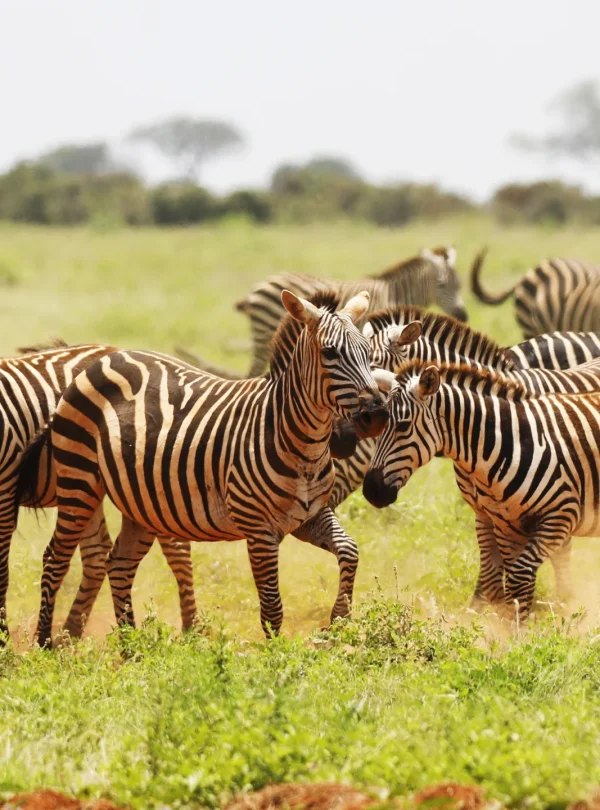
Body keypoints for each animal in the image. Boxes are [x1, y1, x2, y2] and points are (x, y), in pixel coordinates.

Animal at [0, 341, 199, 641]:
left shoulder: (4, 493)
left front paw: (3, 637)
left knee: (178, 550)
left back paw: (193, 631)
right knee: (97, 554)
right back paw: (69, 635)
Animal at [218, 245, 467, 378]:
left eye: (459, 285)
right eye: (442, 285)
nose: (464, 316)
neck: (394, 294)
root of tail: (259, 286)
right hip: (264, 334)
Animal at [365, 307, 600, 605]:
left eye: (373, 364)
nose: (372, 491)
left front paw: (559, 602)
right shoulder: (485, 511)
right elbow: (491, 571)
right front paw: (481, 608)